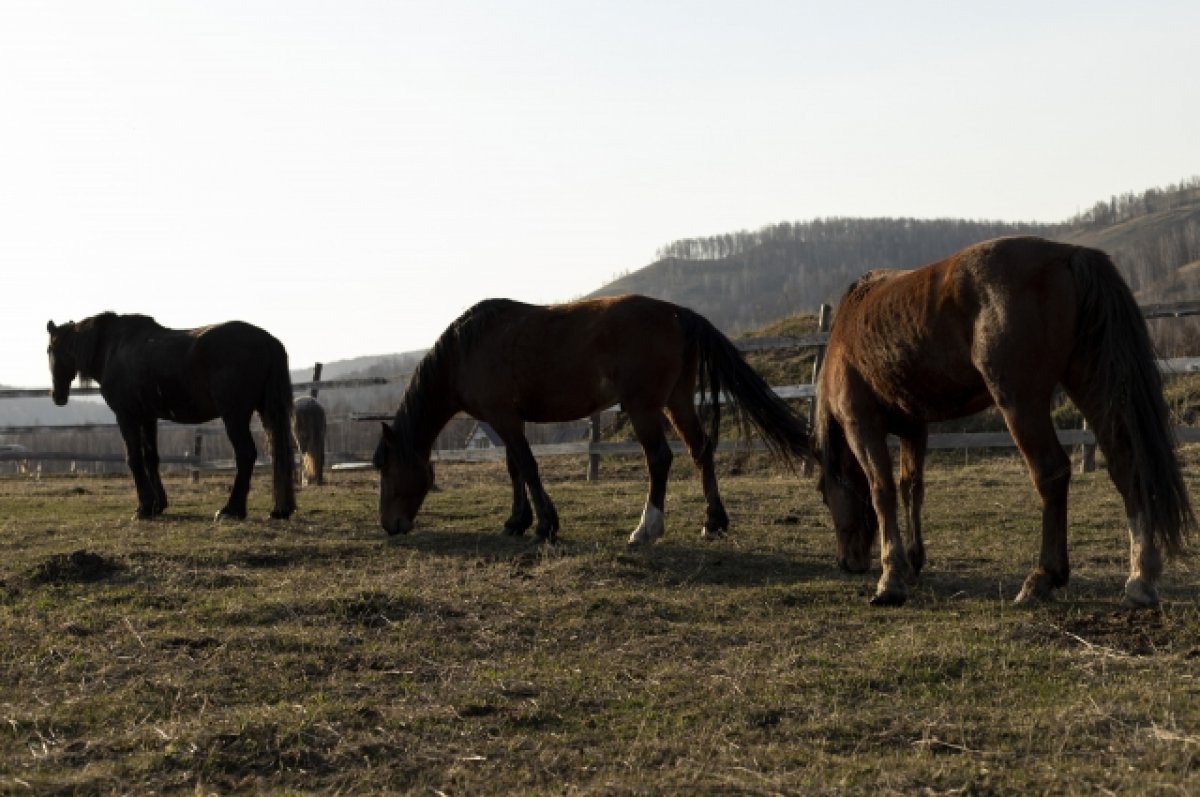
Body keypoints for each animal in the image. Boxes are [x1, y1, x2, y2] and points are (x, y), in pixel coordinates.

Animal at [46, 312, 295, 523]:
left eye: (50, 349)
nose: (57, 396)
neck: (113, 349)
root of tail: (267, 341)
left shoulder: (127, 416)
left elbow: (133, 458)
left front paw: (144, 508)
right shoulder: (148, 417)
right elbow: (151, 458)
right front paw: (158, 505)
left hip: (234, 415)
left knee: (246, 454)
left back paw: (231, 510)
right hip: (264, 412)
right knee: (276, 452)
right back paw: (279, 510)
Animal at [369, 295, 811, 544]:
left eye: (386, 470)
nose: (389, 525)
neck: (467, 350)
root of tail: (677, 313)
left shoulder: (504, 419)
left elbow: (527, 466)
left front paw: (545, 526)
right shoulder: (507, 421)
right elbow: (515, 469)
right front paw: (517, 522)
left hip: (645, 408)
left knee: (660, 459)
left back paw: (646, 529)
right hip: (678, 401)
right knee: (701, 450)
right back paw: (714, 522)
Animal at [816, 235, 1190, 604]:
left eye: (824, 494)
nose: (848, 562)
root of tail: (1068, 254)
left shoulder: (862, 425)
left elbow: (882, 491)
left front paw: (891, 578)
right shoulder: (915, 428)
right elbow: (912, 487)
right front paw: (912, 562)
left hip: (1021, 403)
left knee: (1051, 473)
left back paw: (1042, 577)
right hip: (1093, 385)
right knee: (1127, 465)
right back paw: (1139, 579)